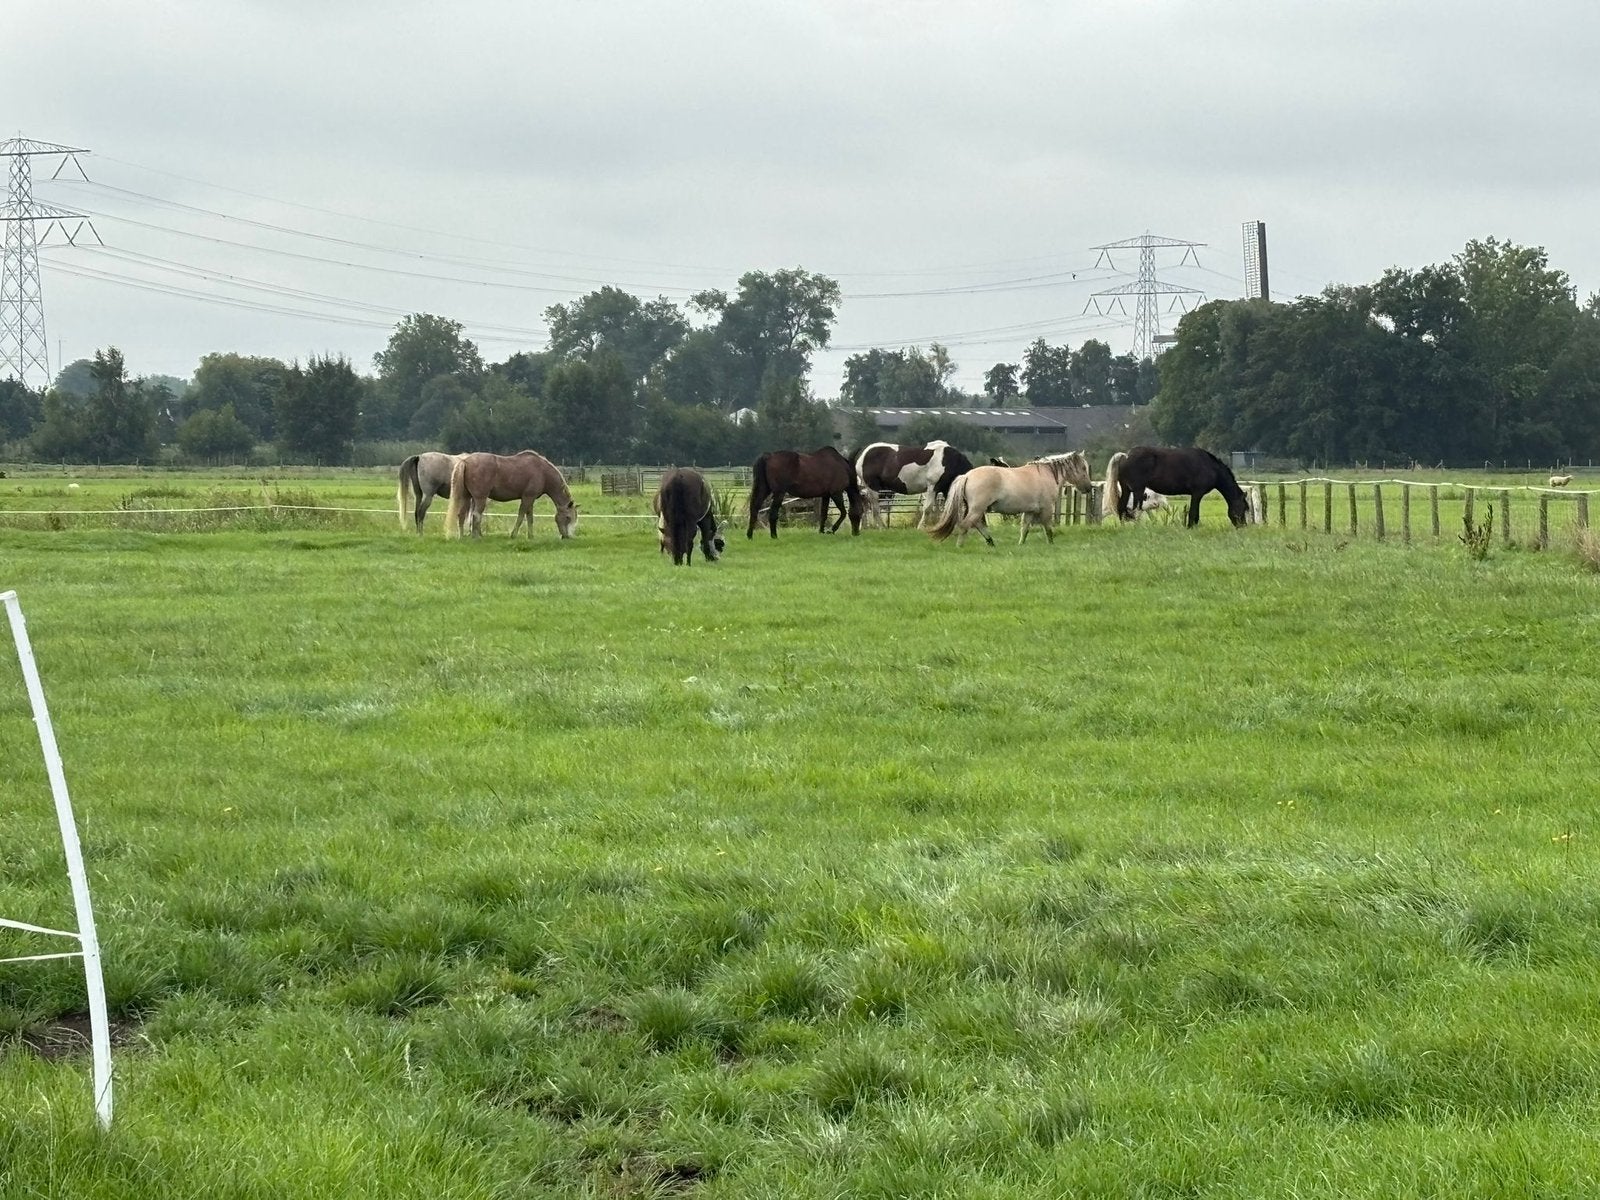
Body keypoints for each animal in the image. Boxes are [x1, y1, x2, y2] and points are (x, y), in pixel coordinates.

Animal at [444, 450, 578, 539]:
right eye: (568, 517)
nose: (567, 536)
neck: (543, 472)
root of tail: (465, 461)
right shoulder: (527, 498)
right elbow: (521, 516)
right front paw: (513, 535)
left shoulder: (530, 499)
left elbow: (530, 518)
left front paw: (531, 536)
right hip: (480, 498)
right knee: (476, 515)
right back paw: (477, 537)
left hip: (466, 497)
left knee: (462, 515)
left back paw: (462, 537)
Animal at [928, 451, 1093, 546]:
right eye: (1083, 468)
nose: (1089, 488)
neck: (1046, 474)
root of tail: (967, 475)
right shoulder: (1046, 508)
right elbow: (1048, 528)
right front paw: (1051, 544)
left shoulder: (1030, 511)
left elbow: (1024, 528)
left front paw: (1021, 544)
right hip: (977, 509)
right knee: (965, 525)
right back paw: (960, 546)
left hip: (976, 510)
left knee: (978, 525)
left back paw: (991, 543)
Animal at [1103, 447, 1249, 527]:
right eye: (1243, 508)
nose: (1242, 526)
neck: (1210, 467)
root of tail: (1125, 456)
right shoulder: (1197, 494)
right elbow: (1193, 513)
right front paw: (1191, 527)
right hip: (1138, 490)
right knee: (1135, 510)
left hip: (1126, 489)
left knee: (1122, 509)